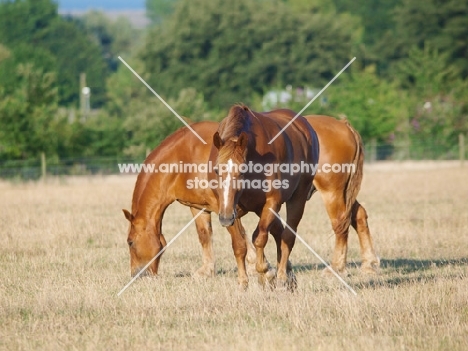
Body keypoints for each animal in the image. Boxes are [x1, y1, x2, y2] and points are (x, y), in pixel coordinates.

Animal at [211, 105, 318, 292]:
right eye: (217, 170)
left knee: (287, 236)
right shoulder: (229, 208)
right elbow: (239, 245)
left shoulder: (271, 203)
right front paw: (243, 282)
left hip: (297, 199)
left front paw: (265, 271)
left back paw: (282, 276)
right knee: (278, 232)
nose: (224, 219)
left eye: (241, 171)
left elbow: (259, 238)